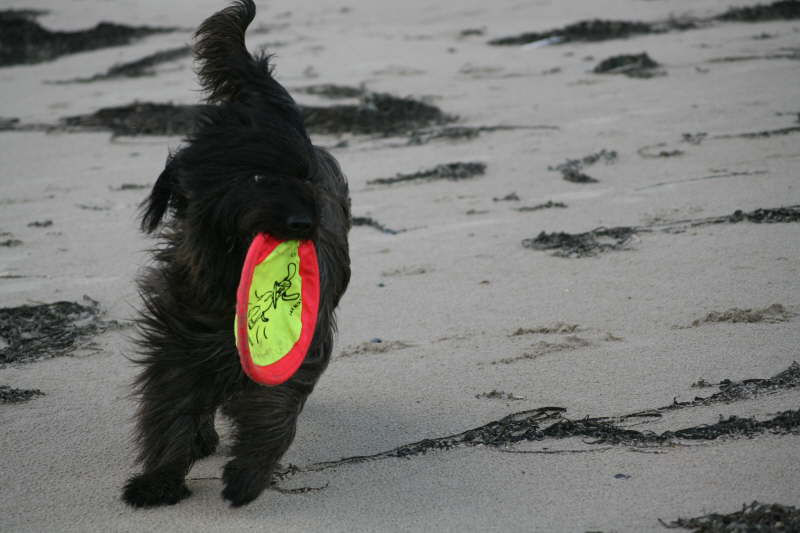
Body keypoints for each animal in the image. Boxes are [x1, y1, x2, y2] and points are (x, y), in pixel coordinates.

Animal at [122, 0, 350, 508]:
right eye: (259, 177)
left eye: (304, 176)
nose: (305, 224)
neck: (228, 270)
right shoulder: (180, 336)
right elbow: (170, 402)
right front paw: (159, 480)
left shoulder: (302, 338)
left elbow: (275, 404)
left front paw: (247, 474)